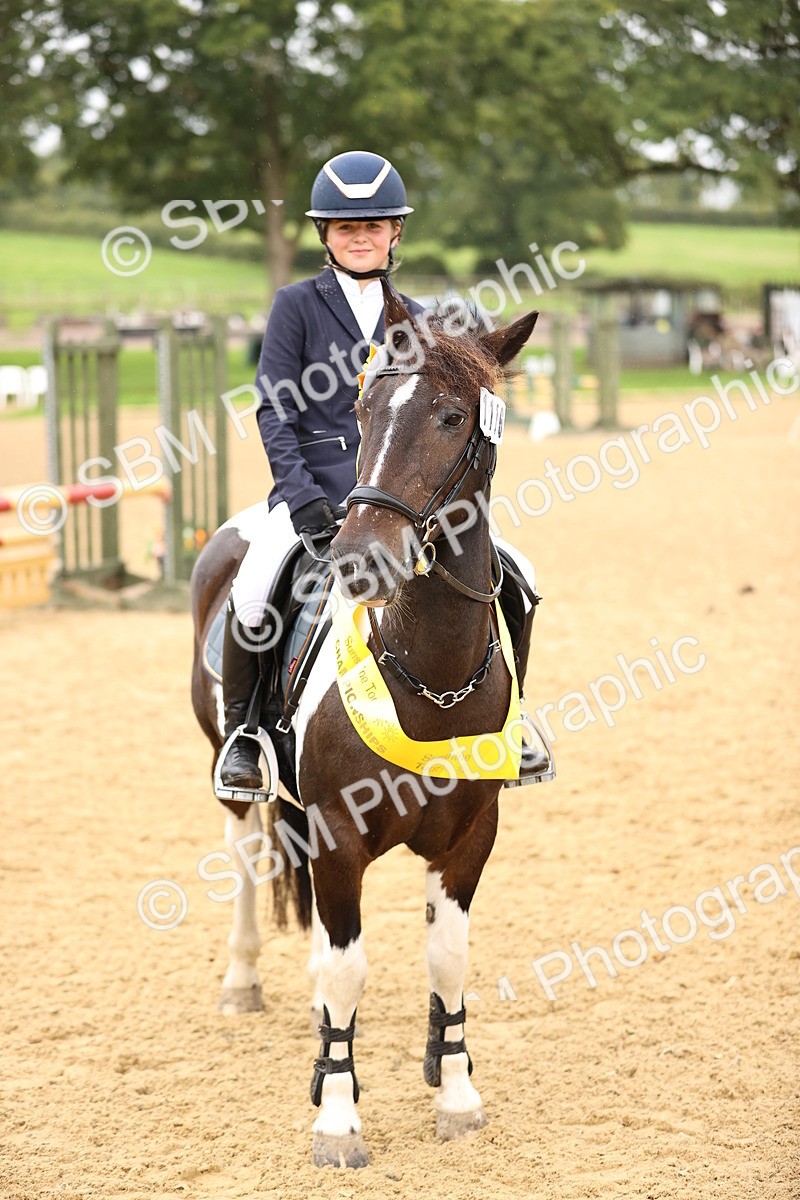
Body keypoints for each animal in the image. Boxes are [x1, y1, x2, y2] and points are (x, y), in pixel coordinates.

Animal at [190, 283, 541, 1168]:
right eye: (364, 405)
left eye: (452, 417)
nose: (357, 558)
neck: (431, 675)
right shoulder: (338, 834)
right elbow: (349, 971)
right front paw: (339, 1121)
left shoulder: (470, 835)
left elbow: (446, 957)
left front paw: (455, 1092)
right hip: (236, 773)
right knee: (244, 855)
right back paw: (241, 984)